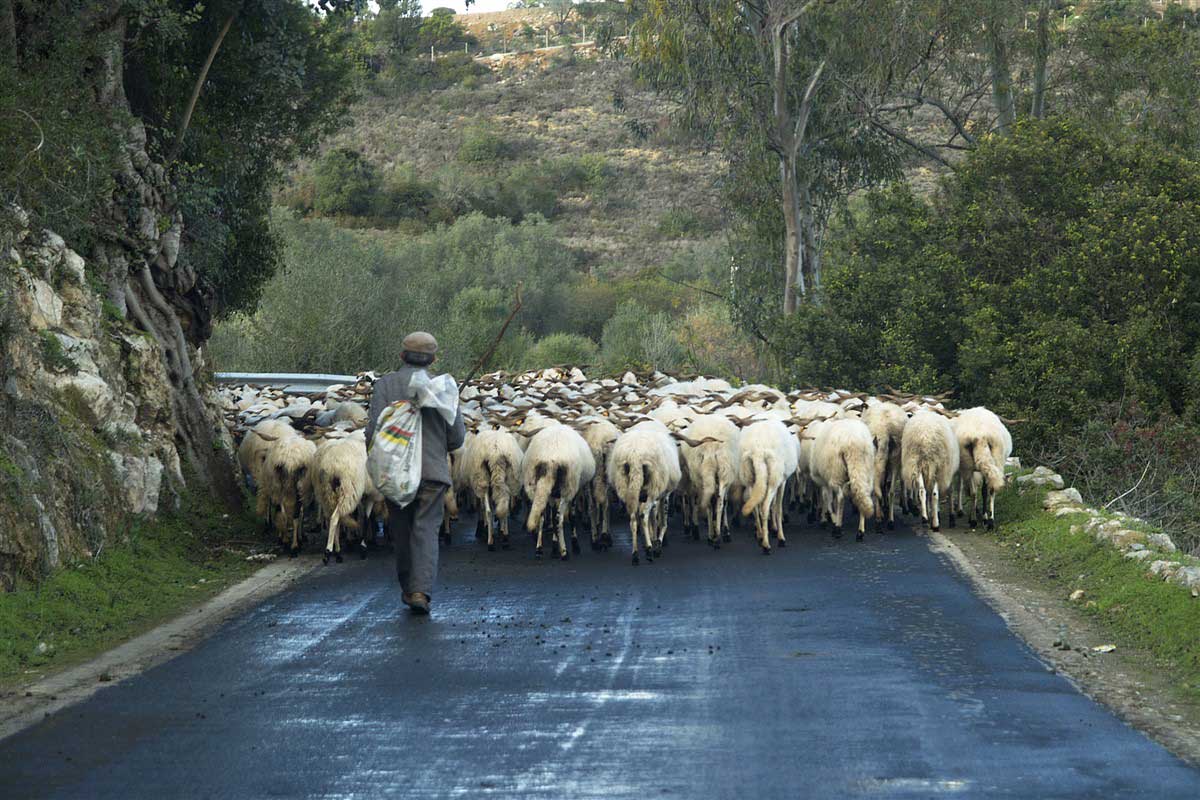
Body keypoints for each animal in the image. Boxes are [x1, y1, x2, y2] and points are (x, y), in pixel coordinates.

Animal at [520, 422, 595, 561]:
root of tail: (550, 459)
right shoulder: (573, 491)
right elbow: (571, 517)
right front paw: (573, 545)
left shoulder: (552, 494)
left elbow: (551, 515)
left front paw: (554, 547)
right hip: (567, 487)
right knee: (559, 519)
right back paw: (564, 552)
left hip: (537, 486)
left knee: (542, 516)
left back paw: (539, 550)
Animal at [604, 422, 681, 566]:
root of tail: (634, 456)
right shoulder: (664, 494)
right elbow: (662, 521)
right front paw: (657, 544)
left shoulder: (644, 496)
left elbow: (654, 519)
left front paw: (651, 542)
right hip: (651, 488)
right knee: (643, 515)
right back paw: (649, 551)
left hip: (627, 486)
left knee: (634, 518)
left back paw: (635, 554)